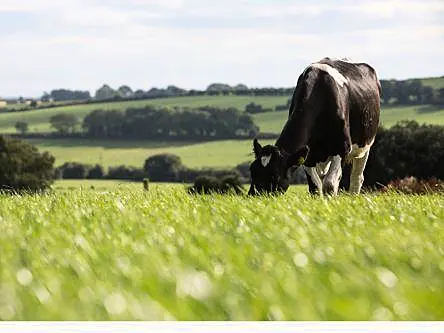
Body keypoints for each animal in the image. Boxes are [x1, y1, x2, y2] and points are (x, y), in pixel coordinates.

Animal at [250, 57, 382, 195]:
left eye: (275, 176)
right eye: (251, 170)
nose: (254, 196)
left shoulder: (342, 147)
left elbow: (330, 184)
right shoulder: (308, 155)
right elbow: (315, 187)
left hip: (365, 144)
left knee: (357, 177)